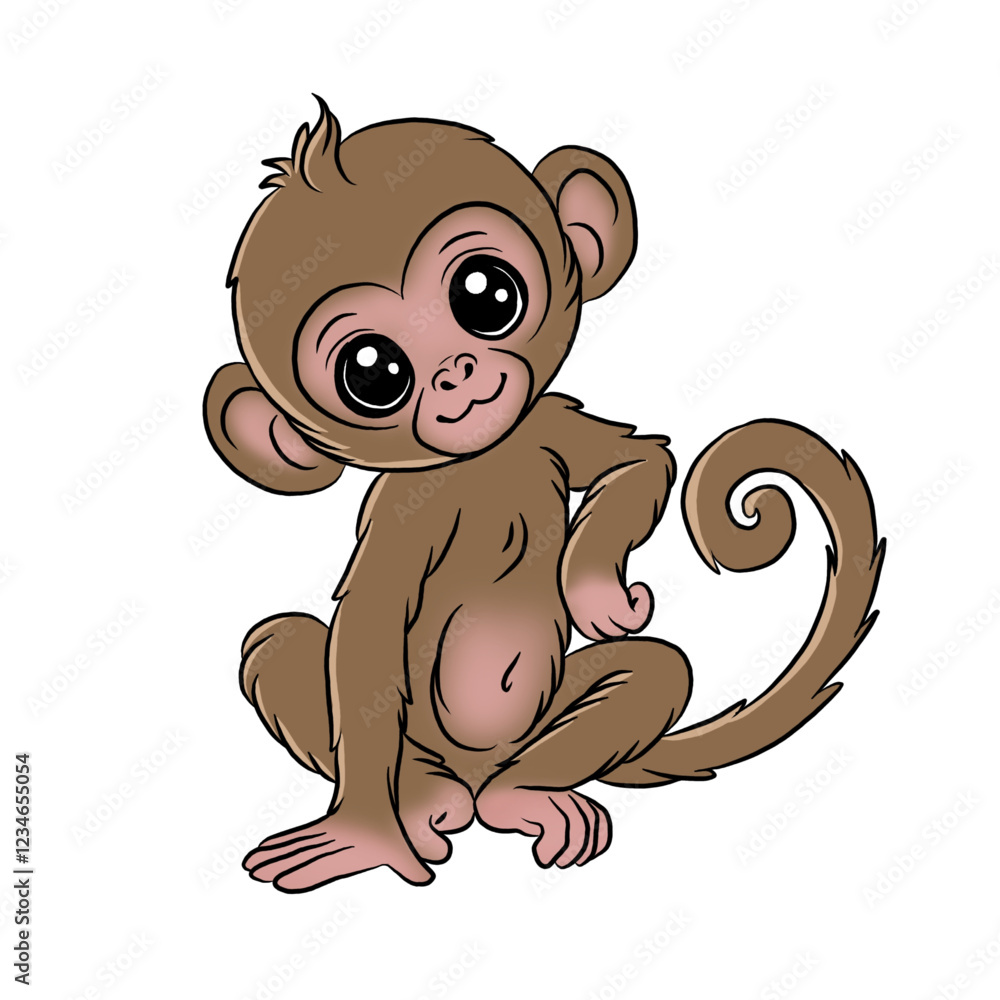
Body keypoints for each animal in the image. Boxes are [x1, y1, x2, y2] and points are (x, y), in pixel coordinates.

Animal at [203, 98, 884, 892]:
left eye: (487, 294)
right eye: (372, 373)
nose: (457, 371)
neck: (482, 464)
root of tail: (475, 781)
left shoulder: (542, 425)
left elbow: (636, 461)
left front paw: (596, 595)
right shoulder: (404, 514)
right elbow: (367, 637)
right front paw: (363, 836)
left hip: (541, 725)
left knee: (652, 671)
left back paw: (522, 795)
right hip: (418, 743)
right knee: (283, 646)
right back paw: (424, 801)